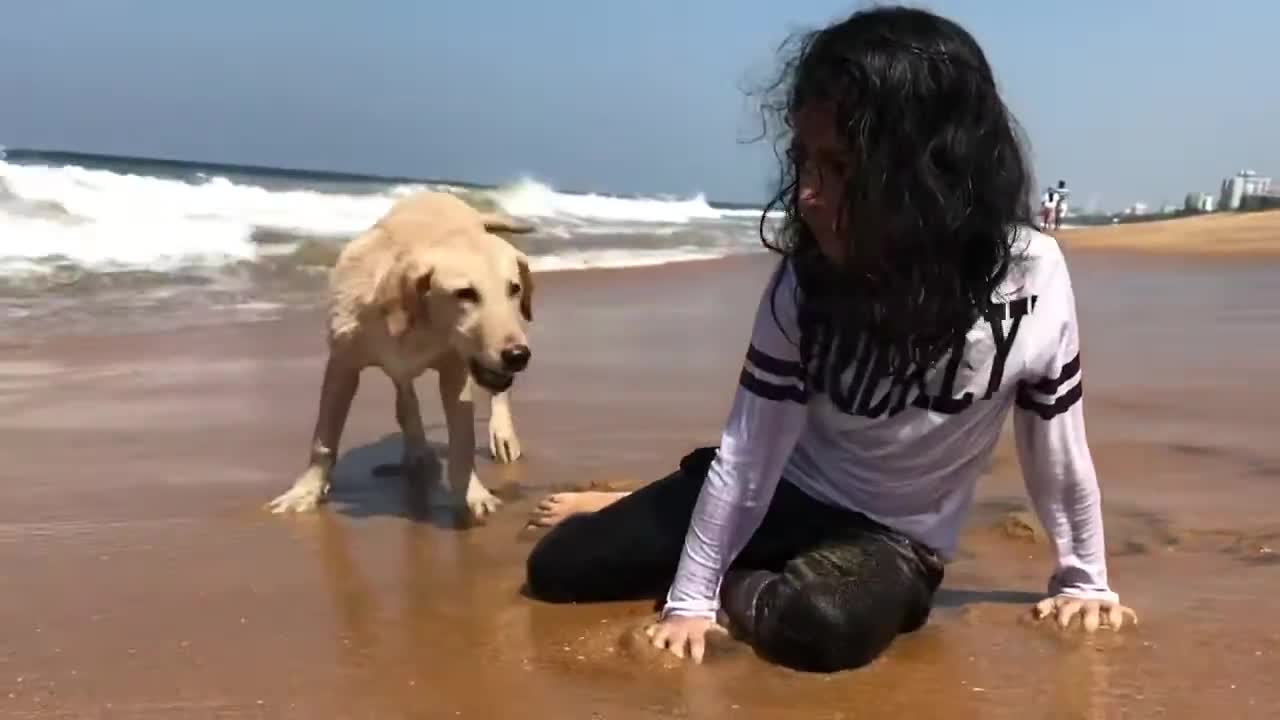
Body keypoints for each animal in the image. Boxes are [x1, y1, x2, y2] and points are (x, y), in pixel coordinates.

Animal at [266, 189, 535, 515]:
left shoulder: (455, 373)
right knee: (405, 395)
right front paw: (306, 491)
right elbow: (324, 438)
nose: (518, 355)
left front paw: (472, 494)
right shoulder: (342, 366)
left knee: (496, 393)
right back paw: (416, 446)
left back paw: (502, 433)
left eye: (514, 289)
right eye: (465, 294)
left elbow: (463, 441)